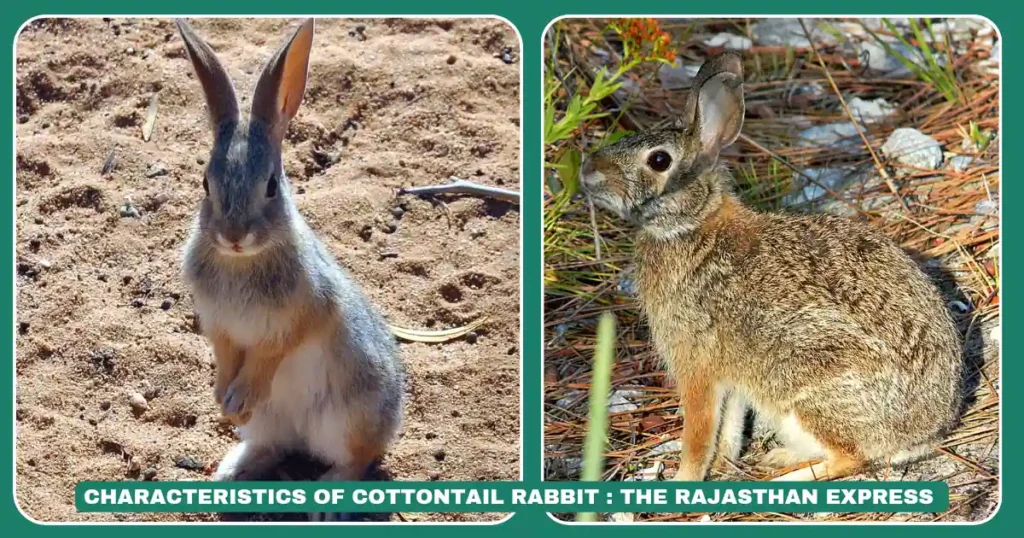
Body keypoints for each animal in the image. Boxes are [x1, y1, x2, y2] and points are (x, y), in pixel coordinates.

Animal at [176, 17, 403, 512]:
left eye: (271, 186)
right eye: (205, 182)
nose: (234, 236)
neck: (243, 262)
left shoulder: (301, 315)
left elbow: (270, 354)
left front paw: (237, 395)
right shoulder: (219, 326)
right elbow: (227, 354)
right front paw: (223, 398)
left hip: (349, 417)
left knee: (359, 459)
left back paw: (328, 498)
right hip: (270, 423)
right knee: (275, 445)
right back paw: (231, 470)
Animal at [581, 52, 962, 479]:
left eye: (659, 160)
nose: (588, 171)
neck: (692, 224)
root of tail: (920, 435)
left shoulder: (695, 363)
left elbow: (699, 432)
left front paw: (685, 479)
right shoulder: (732, 376)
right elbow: (730, 424)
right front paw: (725, 464)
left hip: (809, 385)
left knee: (850, 458)